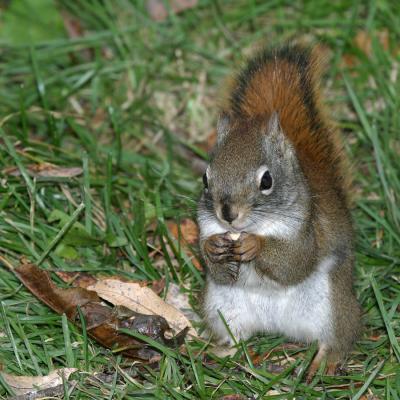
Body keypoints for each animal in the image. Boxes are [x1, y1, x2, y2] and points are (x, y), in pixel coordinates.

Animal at [198, 43, 362, 382]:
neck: (253, 226)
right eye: (206, 179)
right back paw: (221, 353)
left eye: (266, 181)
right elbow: (216, 266)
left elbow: (294, 262)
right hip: (222, 307)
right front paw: (214, 248)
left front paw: (255, 246)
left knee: (338, 337)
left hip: (332, 307)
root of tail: (278, 327)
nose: (228, 214)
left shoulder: (307, 230)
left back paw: (324, 361)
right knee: (237, 335)